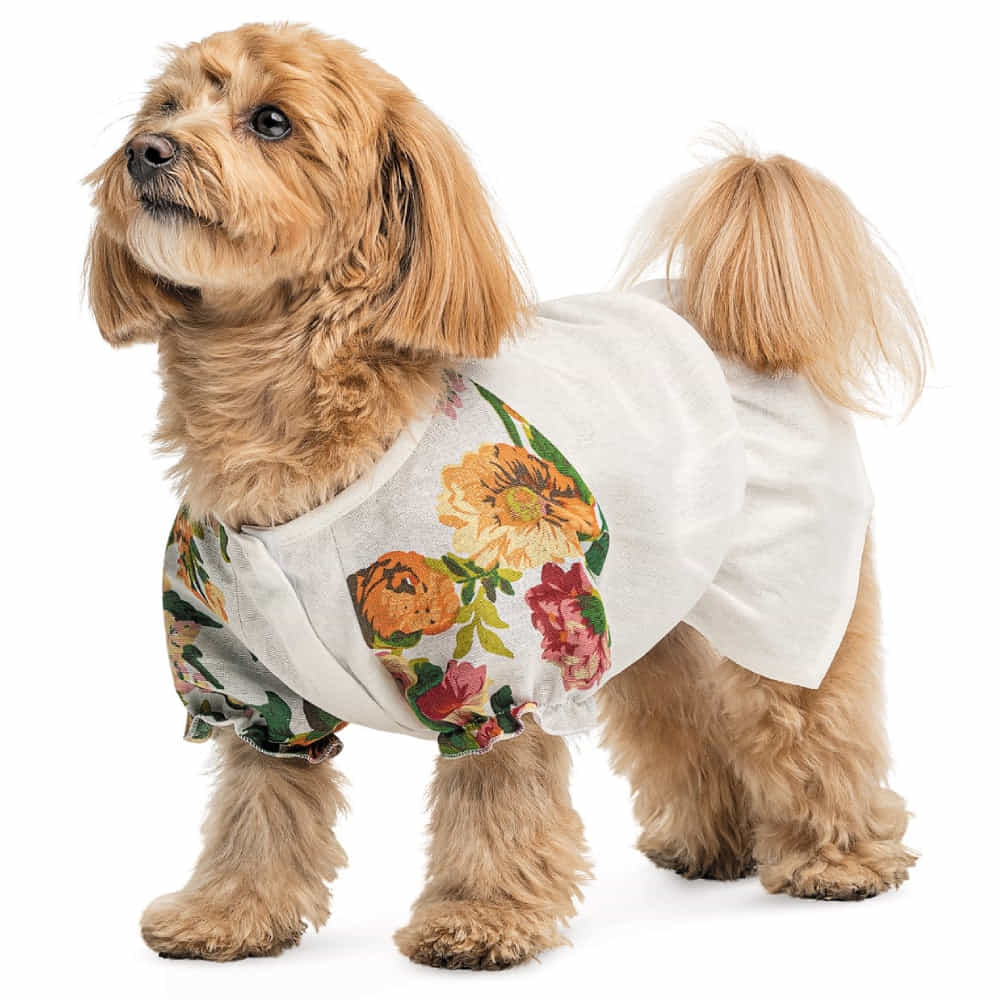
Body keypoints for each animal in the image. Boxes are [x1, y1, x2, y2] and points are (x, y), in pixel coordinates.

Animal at [86, 22, 925, 968]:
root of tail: (732, 316)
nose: (146, 150)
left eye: (270, 121)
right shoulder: (246, 687)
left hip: (790, 597)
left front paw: (479, 919)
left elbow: (495, 798)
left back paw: (839, 859)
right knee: (683, 725)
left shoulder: (495, 675)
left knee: (812, 725)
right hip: (645, 618)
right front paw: (228, 912)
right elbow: (256, 807)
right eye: (164, 107)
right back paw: (709, 845)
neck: (278, 405)